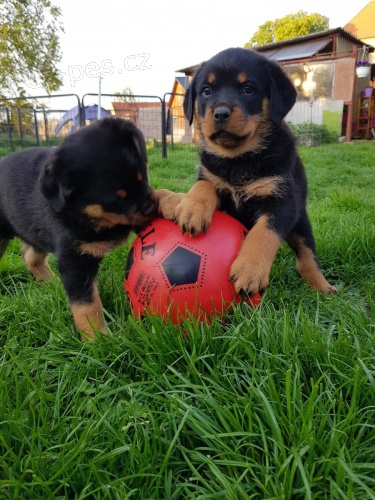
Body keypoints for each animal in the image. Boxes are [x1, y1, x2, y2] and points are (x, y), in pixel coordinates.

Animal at [0, 118, 158, 340]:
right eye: (114, 201)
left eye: (142, 175)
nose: (150, 206)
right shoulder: (74, 260)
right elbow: (87, 305)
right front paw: (98, 339)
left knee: (31, 256)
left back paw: (50, 282)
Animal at [159, 46, 338, 294]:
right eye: (206, 91)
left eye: (248, 89)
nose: (220, 113)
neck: (237, 160)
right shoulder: (212, 177)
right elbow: (203, 184)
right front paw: (192, 209)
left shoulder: (282, 201)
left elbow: (263, 232)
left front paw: (250, 270)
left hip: (301, 223)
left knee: (307, 257)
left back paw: (323, 287)